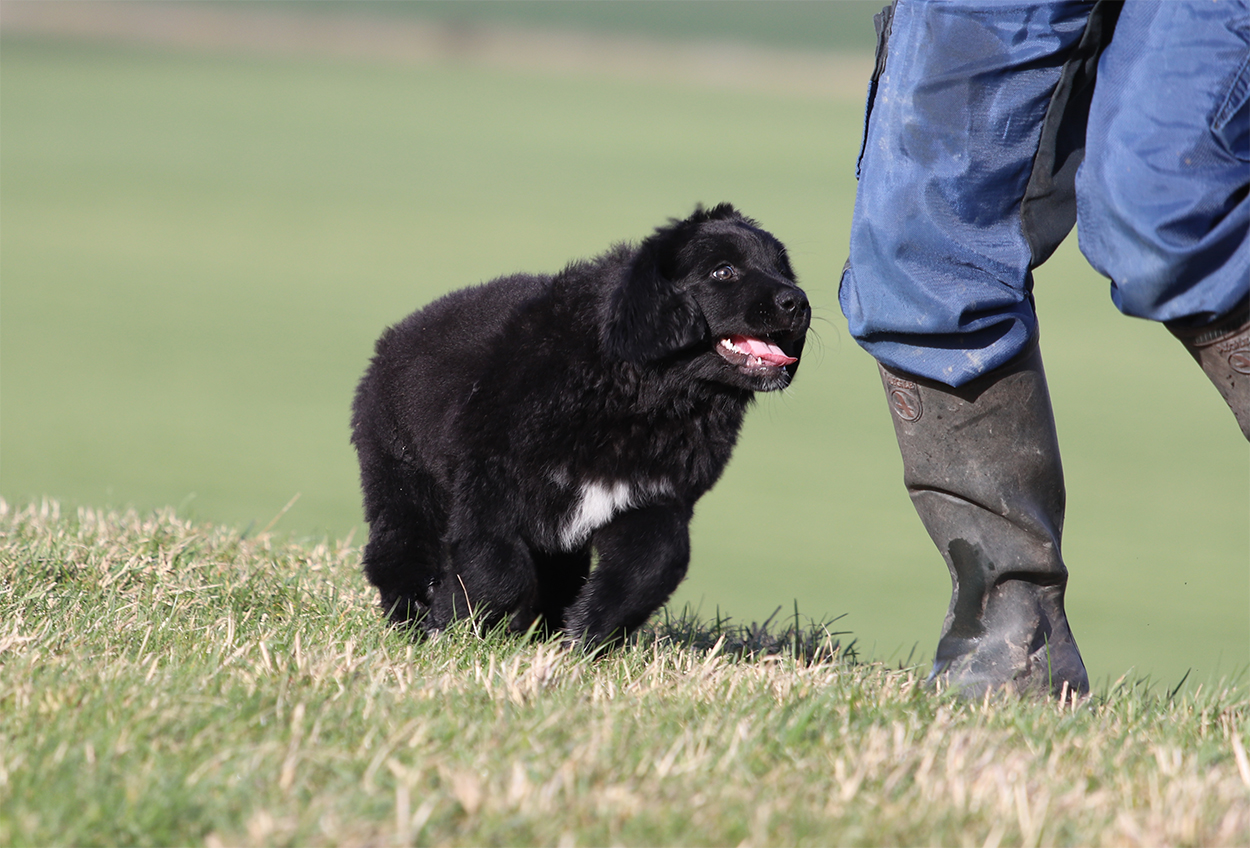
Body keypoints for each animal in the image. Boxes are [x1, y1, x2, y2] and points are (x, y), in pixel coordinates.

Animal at [351, 204, 810, 645]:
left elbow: (653, 565)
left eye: (784, 270)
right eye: (723, 271)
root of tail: (399, 333)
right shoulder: (491, 483)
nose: (799, 302)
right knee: (399, 546)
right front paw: (448, 623)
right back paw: (411, 613)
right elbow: (497, 568)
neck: (640, 395)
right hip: (404, 473)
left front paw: (585, 632)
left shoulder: (653, 497)